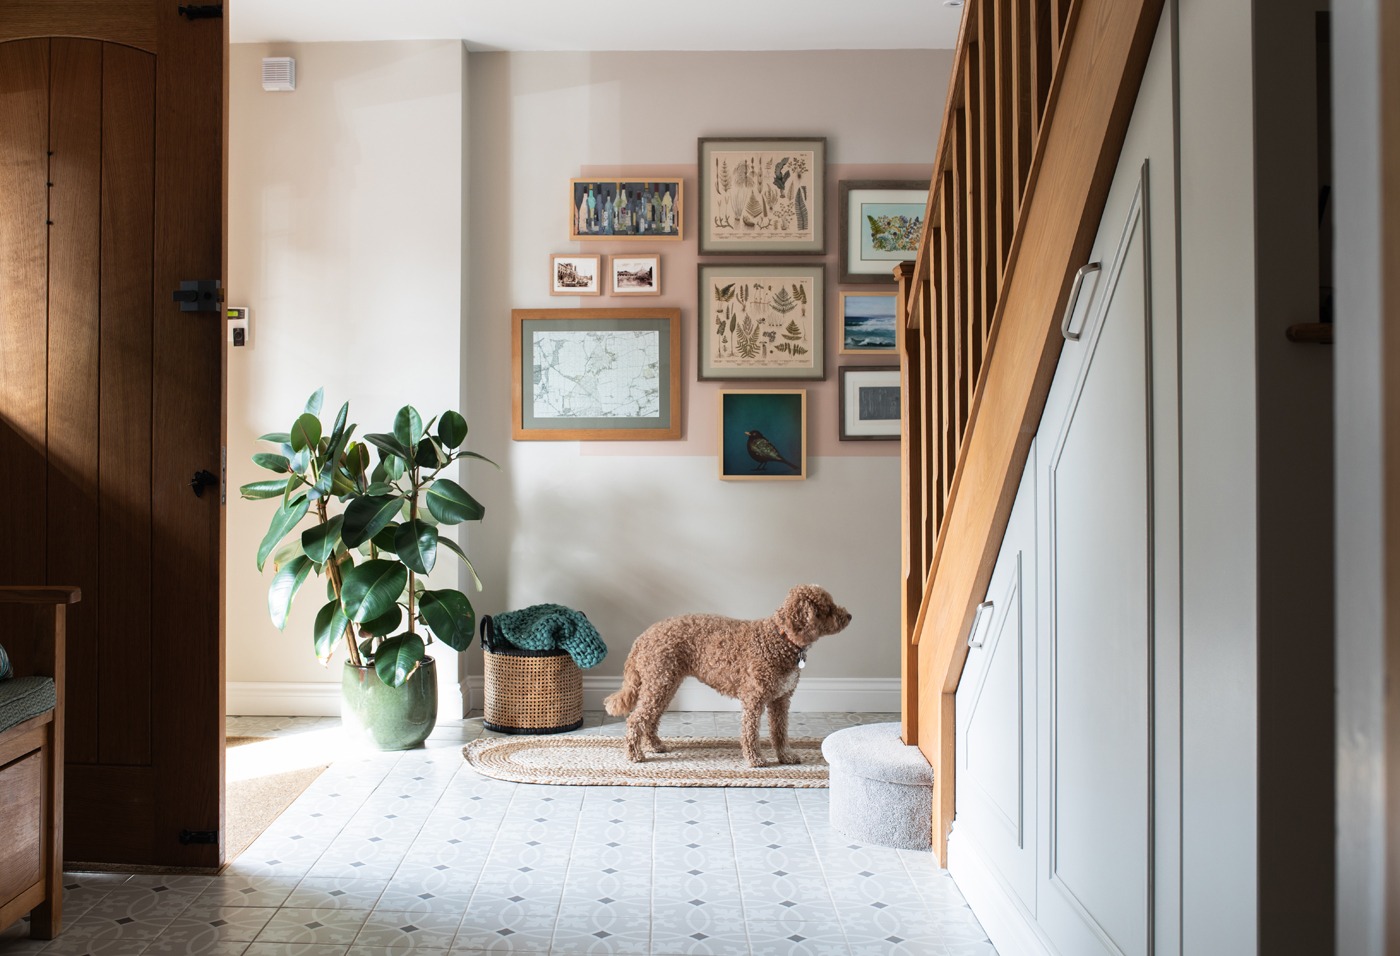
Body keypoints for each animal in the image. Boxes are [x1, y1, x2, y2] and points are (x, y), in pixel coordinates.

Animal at [604, 582, 851, 772]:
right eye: (827, 608)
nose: (849, 615)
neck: (780, 640)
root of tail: (642, 638)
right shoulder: (754, 699)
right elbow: (750, 732)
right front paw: (755, 759)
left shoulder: (781, 699)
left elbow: (779, 731)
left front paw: (786, 757)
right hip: (659, 683)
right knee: (636, 719)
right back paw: (635, 754)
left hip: (664, 684)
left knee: (651, 719)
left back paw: (655, 746)